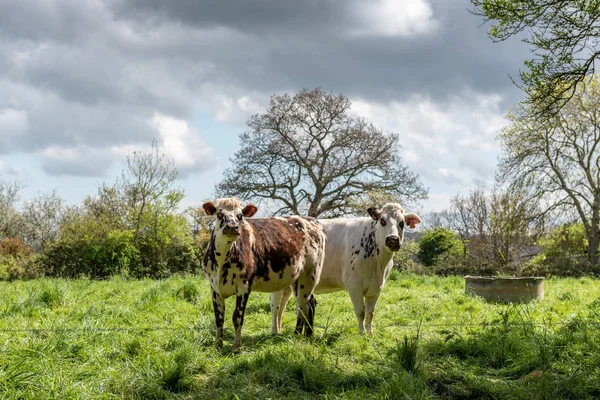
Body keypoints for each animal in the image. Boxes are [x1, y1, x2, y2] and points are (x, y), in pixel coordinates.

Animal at [202, 198, 326, 350]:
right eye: (220, 214)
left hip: (310, 276)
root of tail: (310, 220)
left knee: (305, 306)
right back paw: (298, 334)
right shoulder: (214, 287)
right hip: (297, 279)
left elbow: (237, 317)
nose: (232, 227)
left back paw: (306, 337)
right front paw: (218, 345)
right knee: (306, 304)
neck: (222, 260)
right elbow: (219, 317)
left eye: (240, 216)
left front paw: (237, 346)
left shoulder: (244, 286)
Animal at [272, 203, 422, 334]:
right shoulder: (353, 284)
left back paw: (281, 331)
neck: (378, 263)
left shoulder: (376, 288)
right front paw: (361, 334)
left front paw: (369, 335)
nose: (393, 239)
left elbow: (370, 313)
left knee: (286, 305)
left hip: (289, 283)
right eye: (383, 221)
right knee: (276, 305)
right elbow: (360, 312)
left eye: (402, 223)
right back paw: (274, 332)